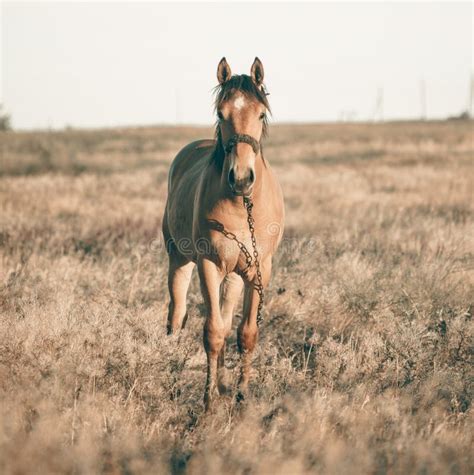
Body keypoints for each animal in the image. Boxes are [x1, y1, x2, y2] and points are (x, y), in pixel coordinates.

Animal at [162, 56, 286, 412]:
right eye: (221, 113)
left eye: (261, 114)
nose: (241, 178)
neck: (242, 206)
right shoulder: (208, 265)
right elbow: (214, 332)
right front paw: (209, 399)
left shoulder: (260, 268)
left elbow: (246, 332)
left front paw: (241, 393)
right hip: (179, 258)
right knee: (176, 310)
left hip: (234, 274)